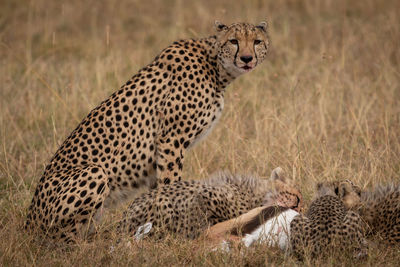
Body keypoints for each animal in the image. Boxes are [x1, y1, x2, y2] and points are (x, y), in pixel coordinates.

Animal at [25, 21, 272, 243]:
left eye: (257, 42)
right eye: (234, 41)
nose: (247, 58)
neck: (216, 66)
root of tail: (28, 222)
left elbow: (157, 189)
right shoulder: (171, 140)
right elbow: (171, 183)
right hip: (94, 172)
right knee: (62, 240)